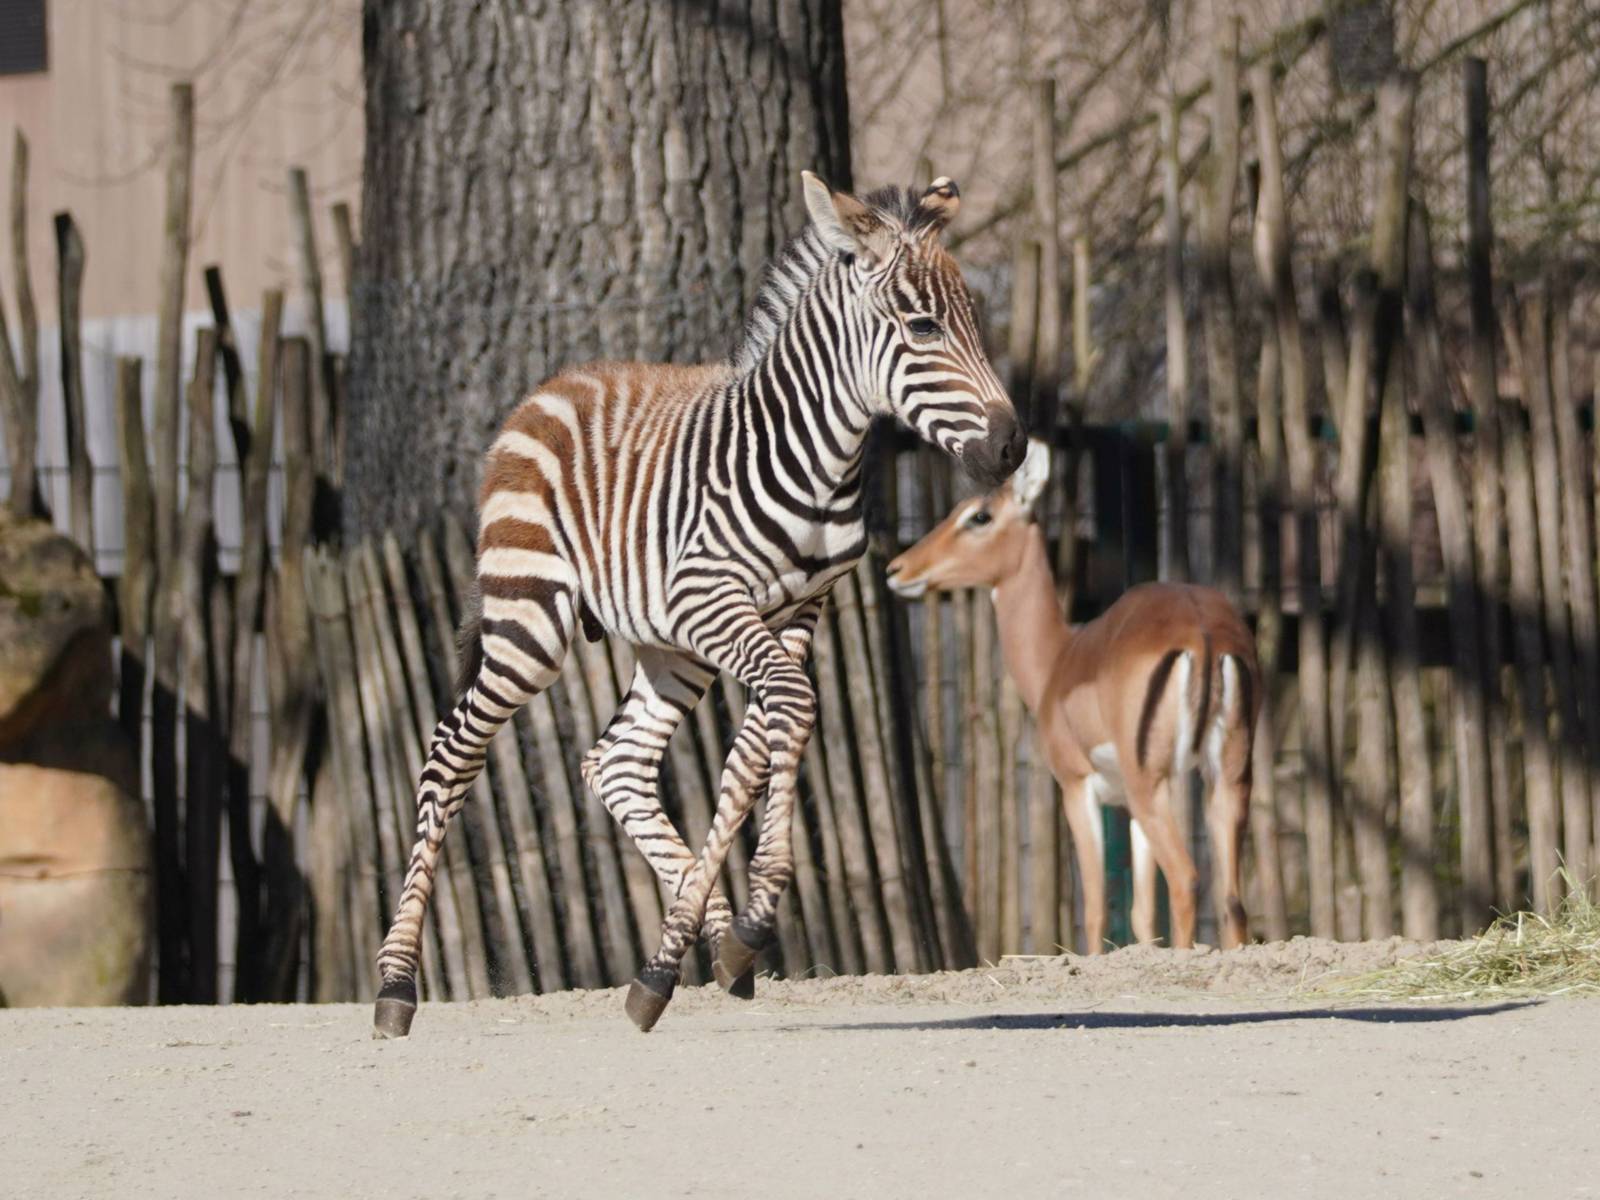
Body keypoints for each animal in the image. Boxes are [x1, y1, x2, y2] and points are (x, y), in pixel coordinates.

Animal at [374, 169, 1024, 1043]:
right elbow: (790, 711)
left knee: (615, 763)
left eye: (974, 322)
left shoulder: (797, 614)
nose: (1011, 447)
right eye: (921, 326)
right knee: (450, 754)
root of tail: (544, 392)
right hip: (530, 623)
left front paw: (708, 946)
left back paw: (691, 947)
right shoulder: (710, 600)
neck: (818, 459)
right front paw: (745, 924)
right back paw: (396, 986)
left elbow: (758, 746)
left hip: (668, 653)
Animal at [883, 441, 1254, 960]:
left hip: (1152, 784)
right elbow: (1141, 916)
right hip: (1226, 778)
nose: (898, 569)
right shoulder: (1127, 806)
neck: (1057, 660)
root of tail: (1203, 632)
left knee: (1185, 879)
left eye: (979, 515)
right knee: (1232, 900)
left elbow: (1097, 909)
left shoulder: (1078, 788)